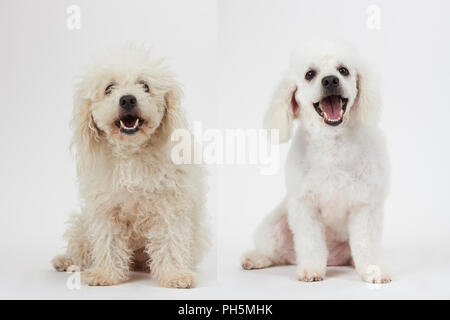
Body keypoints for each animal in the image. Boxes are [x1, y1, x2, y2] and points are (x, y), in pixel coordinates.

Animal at [52, 47, 209, 288]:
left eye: (144, 85)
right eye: (109, 88)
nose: (127, 99)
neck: (133, 155)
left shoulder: (169, 208)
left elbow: (170, 243)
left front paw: (174, 275)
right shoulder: (106, 209)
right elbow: (108, 242)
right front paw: (106, 274)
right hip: (81, 224)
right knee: (82, 249)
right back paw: (67, 260)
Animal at [241, 41, 392, 284]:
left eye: (343, 70)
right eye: (309, 74)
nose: (330, 80)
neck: (333, 143)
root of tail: (333, 259)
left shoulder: (365, 206)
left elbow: (367, 244)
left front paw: (372, 270)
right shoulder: (305, 206)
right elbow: (310, 243)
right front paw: (311, 269)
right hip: (273, 227)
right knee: (273, 253)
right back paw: (255, 259)